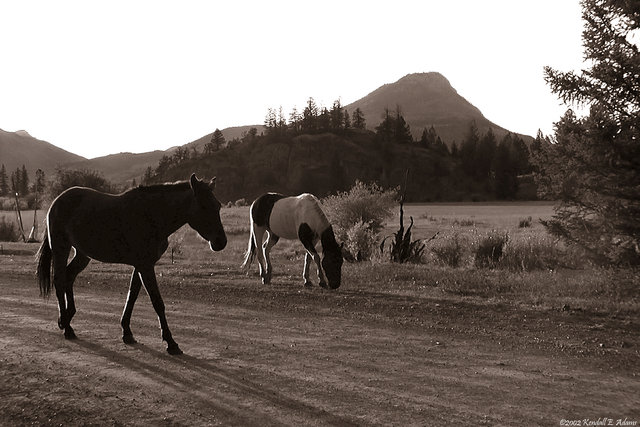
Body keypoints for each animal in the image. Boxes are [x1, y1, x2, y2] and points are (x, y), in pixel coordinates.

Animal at [36, 174, 228, 354]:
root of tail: (57, 200)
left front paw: (127, 332)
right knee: (59, 280)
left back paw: (67, 319)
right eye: (203, 206)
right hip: (61, 248)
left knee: (68, 277)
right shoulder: (145, 266)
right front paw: (170, 342)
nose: (221, 242)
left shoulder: (142, 265)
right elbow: (157, 302)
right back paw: (66, 326)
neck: (151, 215)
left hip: (82, 254)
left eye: (218, 205)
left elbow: (132, 296)